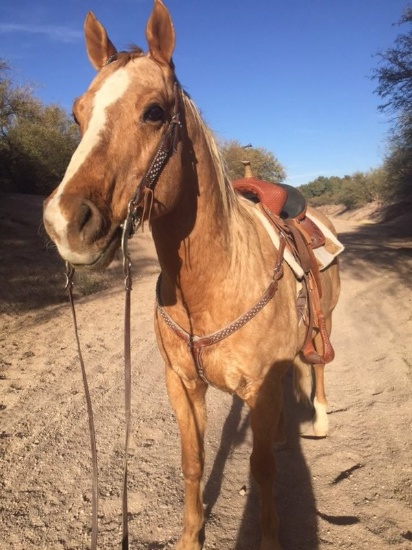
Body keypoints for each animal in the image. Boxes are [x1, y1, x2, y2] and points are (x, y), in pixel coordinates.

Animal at [44, 2, 342, 548]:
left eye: (155, 111)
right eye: (77, 114)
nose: (64, 223)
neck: (210, 286)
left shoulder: (258, 390)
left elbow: (261, 468)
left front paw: (269, 537)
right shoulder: (181, 385)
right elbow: (193, 463)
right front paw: (189, 535)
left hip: (325, 320)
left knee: (317, 367)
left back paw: (320, 420)